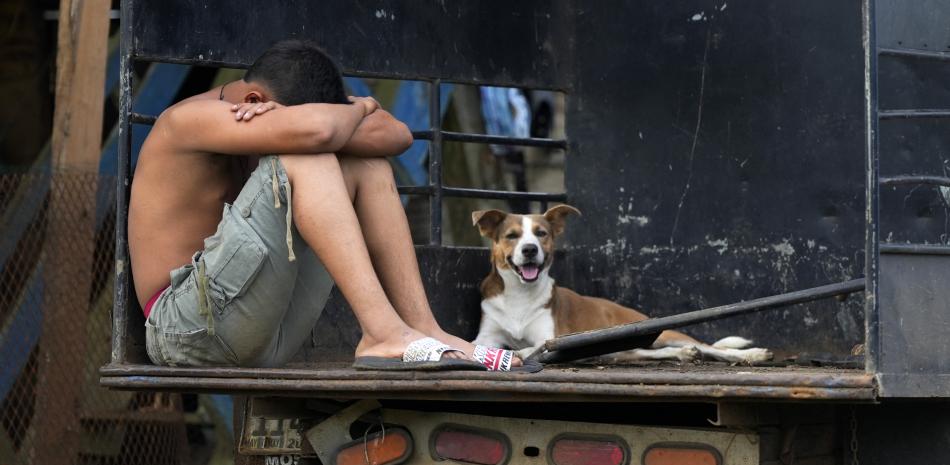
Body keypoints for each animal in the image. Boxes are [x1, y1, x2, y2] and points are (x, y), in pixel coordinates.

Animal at [472, 206, 776, 362]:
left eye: (541, 233)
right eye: (512, 236)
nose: (530, 249)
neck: (519, 296)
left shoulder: (550, 337)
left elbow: (528, 348)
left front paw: (517, 353)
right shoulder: (486, 336)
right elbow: (482, 344)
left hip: (660, 331)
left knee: (713, 348)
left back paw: (751, 356)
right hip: (623, 348)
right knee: (647, 352)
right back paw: (682, 354)